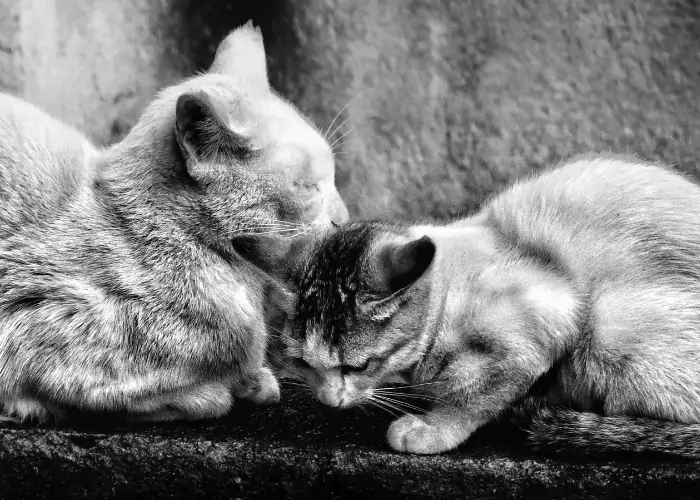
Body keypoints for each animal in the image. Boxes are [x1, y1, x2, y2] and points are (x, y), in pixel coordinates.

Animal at [270, 155, 700, 458]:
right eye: (304, 364)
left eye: (356, 367)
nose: (330, 401)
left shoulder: (547, 318)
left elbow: (475, 396)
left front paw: (434, 427)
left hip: (610, 324)